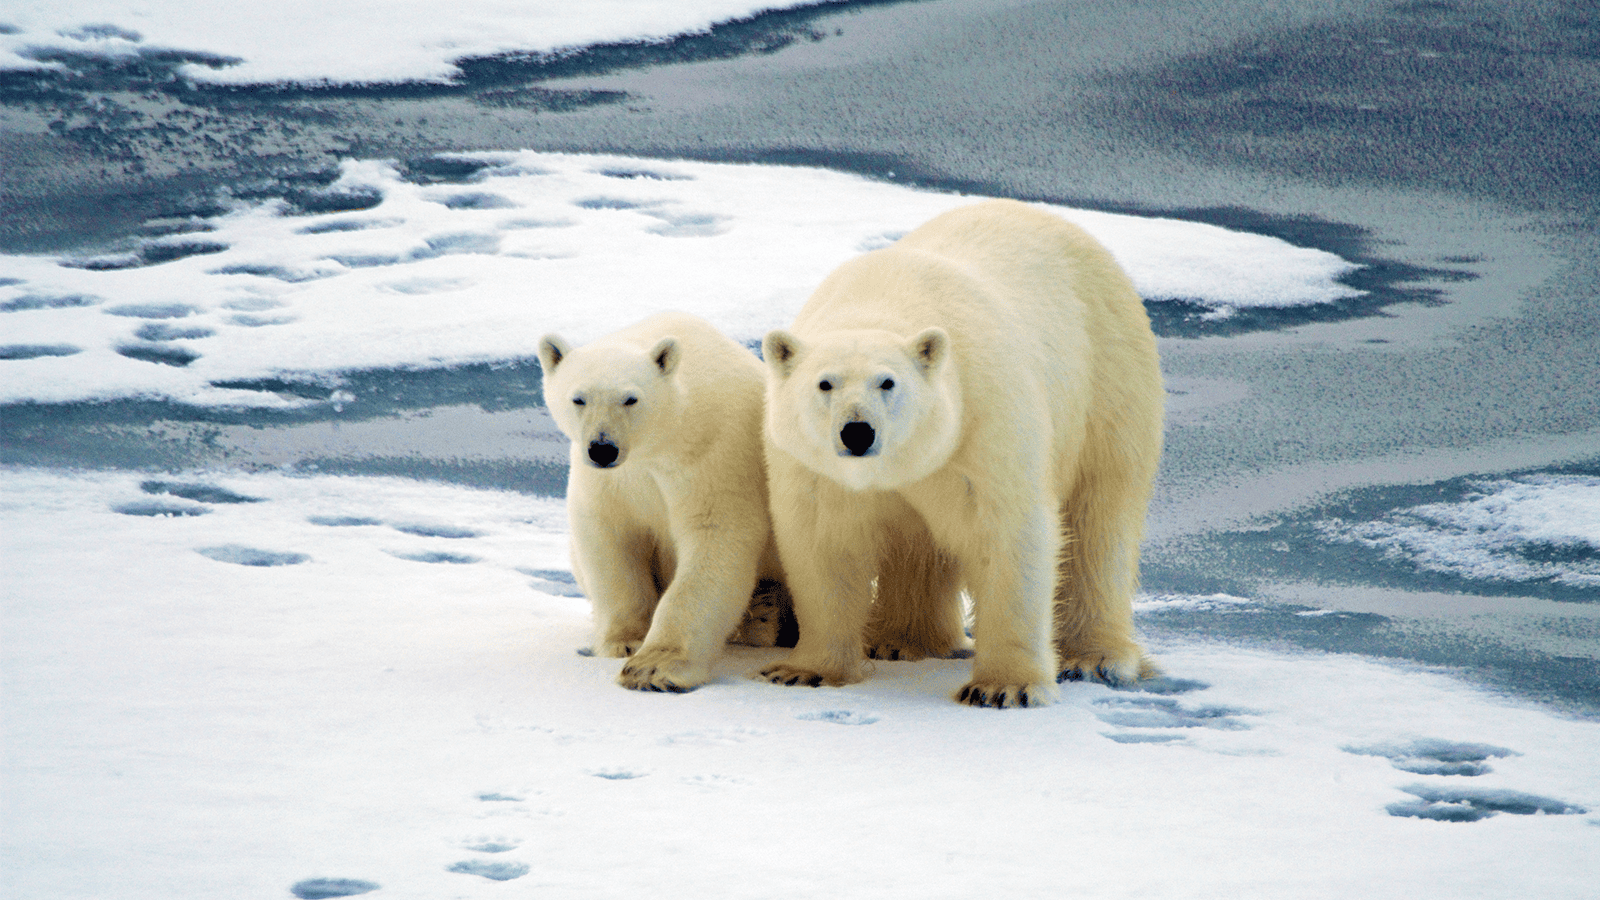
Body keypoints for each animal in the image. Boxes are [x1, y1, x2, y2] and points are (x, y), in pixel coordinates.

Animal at [538, 311, 790, 693]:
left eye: (631, 399)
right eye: (578, 399)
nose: (603, 448)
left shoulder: (714, 455)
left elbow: (715, 536)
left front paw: (653, 669)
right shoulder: (611, 481)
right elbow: (610, 539)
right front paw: (624, 641)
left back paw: (766, 615)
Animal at [758, 199, 1164, 708]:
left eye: (888, 382)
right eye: (824, 383)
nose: (857, 432)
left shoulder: (984, 419)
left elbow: (1007, 533)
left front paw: (1004, 687)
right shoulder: (813, 470)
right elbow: (824, 545)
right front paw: (803, 671)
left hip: (1107, 377)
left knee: (1100, 517)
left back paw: (1095, 657)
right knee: (917, 545)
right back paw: (901, 639)